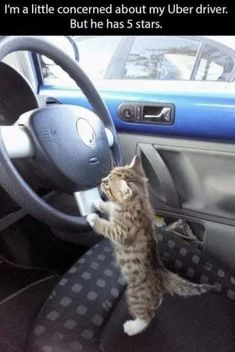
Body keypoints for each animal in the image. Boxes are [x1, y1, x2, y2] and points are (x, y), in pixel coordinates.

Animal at [87, 156, 214, 336]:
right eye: (108, 175)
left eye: (108, 185)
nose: (102, 180)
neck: (138, 202)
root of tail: (162, 275)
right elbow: (110, 207)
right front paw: (99, 203)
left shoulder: (122, 232)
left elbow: (107, 227)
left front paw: (93, 219)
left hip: (135, 295)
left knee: (147, 315)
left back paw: (133, 327)